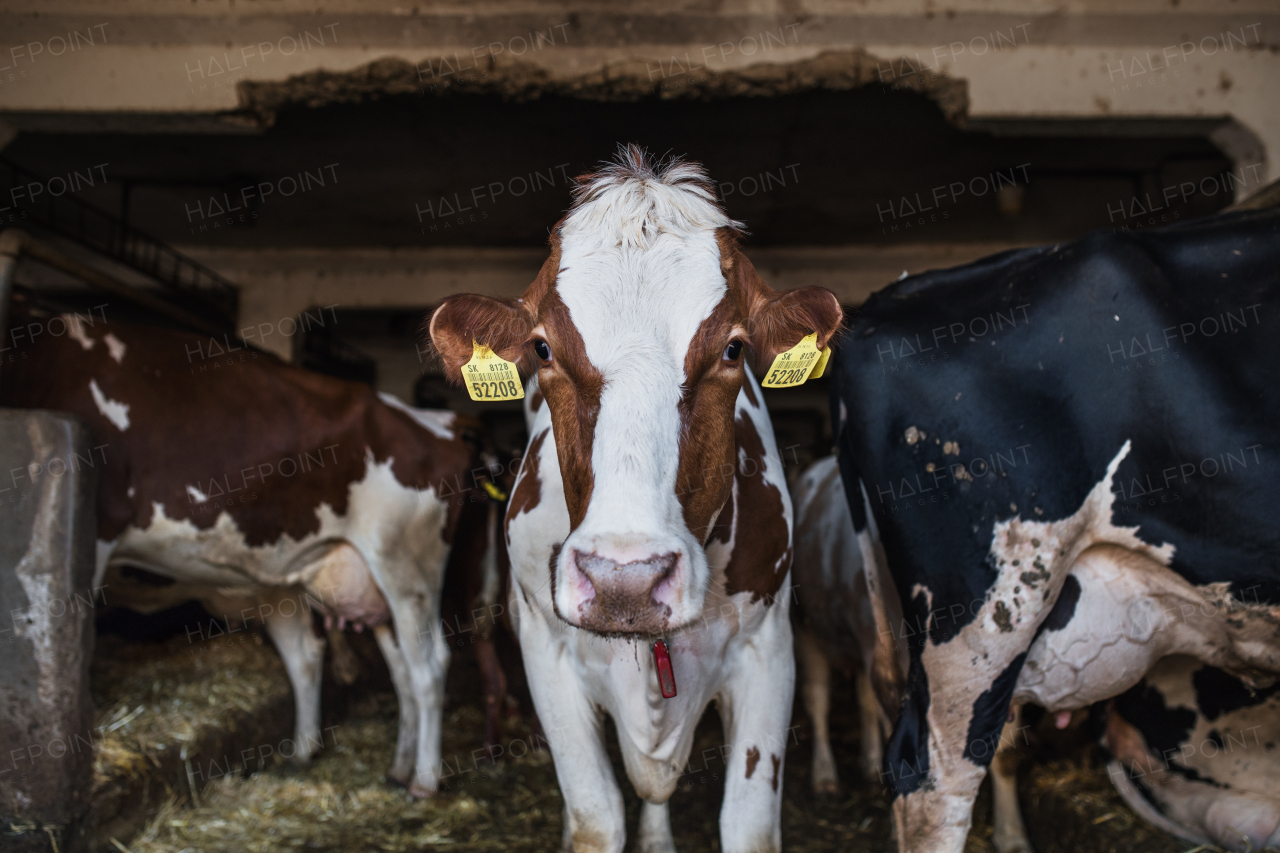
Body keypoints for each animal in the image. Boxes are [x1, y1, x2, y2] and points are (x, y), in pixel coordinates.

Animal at [0, 294, 476, 799]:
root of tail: (433, 421)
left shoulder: (99, 534)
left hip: (407, 568)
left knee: (429, 667)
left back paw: (423, 780)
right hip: (354, 585)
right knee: (358, 664)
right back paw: (362, 762)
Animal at [435, 149, 844, 845]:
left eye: (733, 348)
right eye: (543, 347)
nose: (624, 579)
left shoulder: (768, 651)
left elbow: (748, 825)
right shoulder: (547, 653)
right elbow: (596, 817)